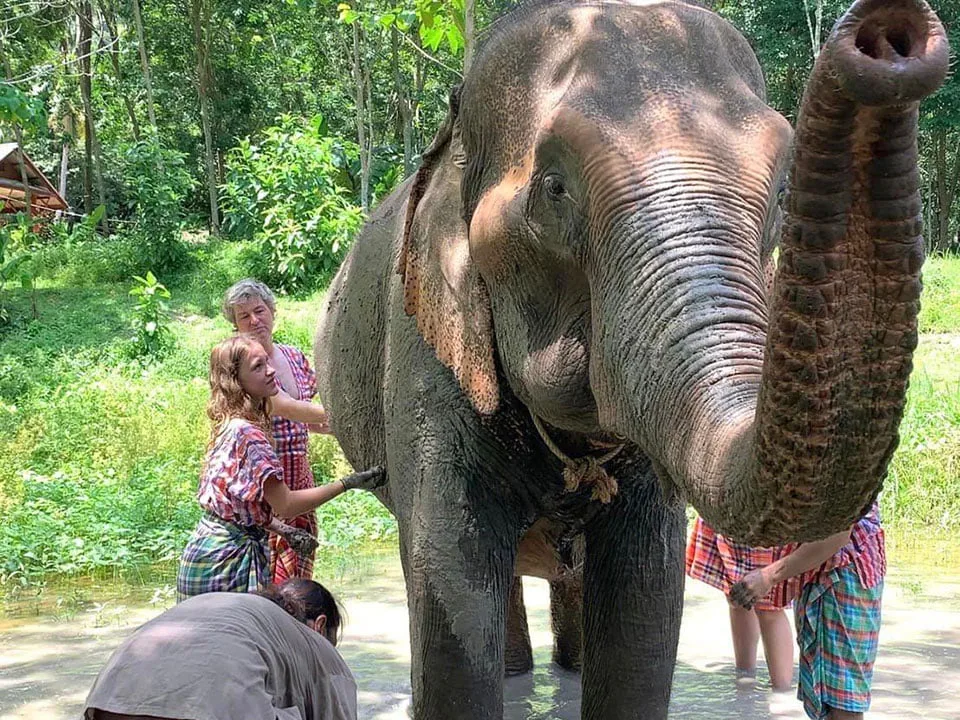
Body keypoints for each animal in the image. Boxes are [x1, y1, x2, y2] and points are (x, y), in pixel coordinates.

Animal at [314, 0, 949, 717]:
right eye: (555, 188)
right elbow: (452, 591)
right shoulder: (424, 350)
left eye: (784, 190)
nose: (888, 38)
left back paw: (564, 668)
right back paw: (517, 674)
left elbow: (644, 599)